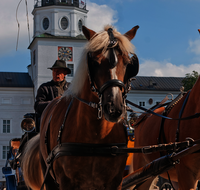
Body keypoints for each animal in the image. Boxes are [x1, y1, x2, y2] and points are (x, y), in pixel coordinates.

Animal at [20, 25, 139, 190]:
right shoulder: (67, 181)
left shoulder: (115, 181)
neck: (96, 136)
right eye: (94, 62)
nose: (114, 108)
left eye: (128, 63)